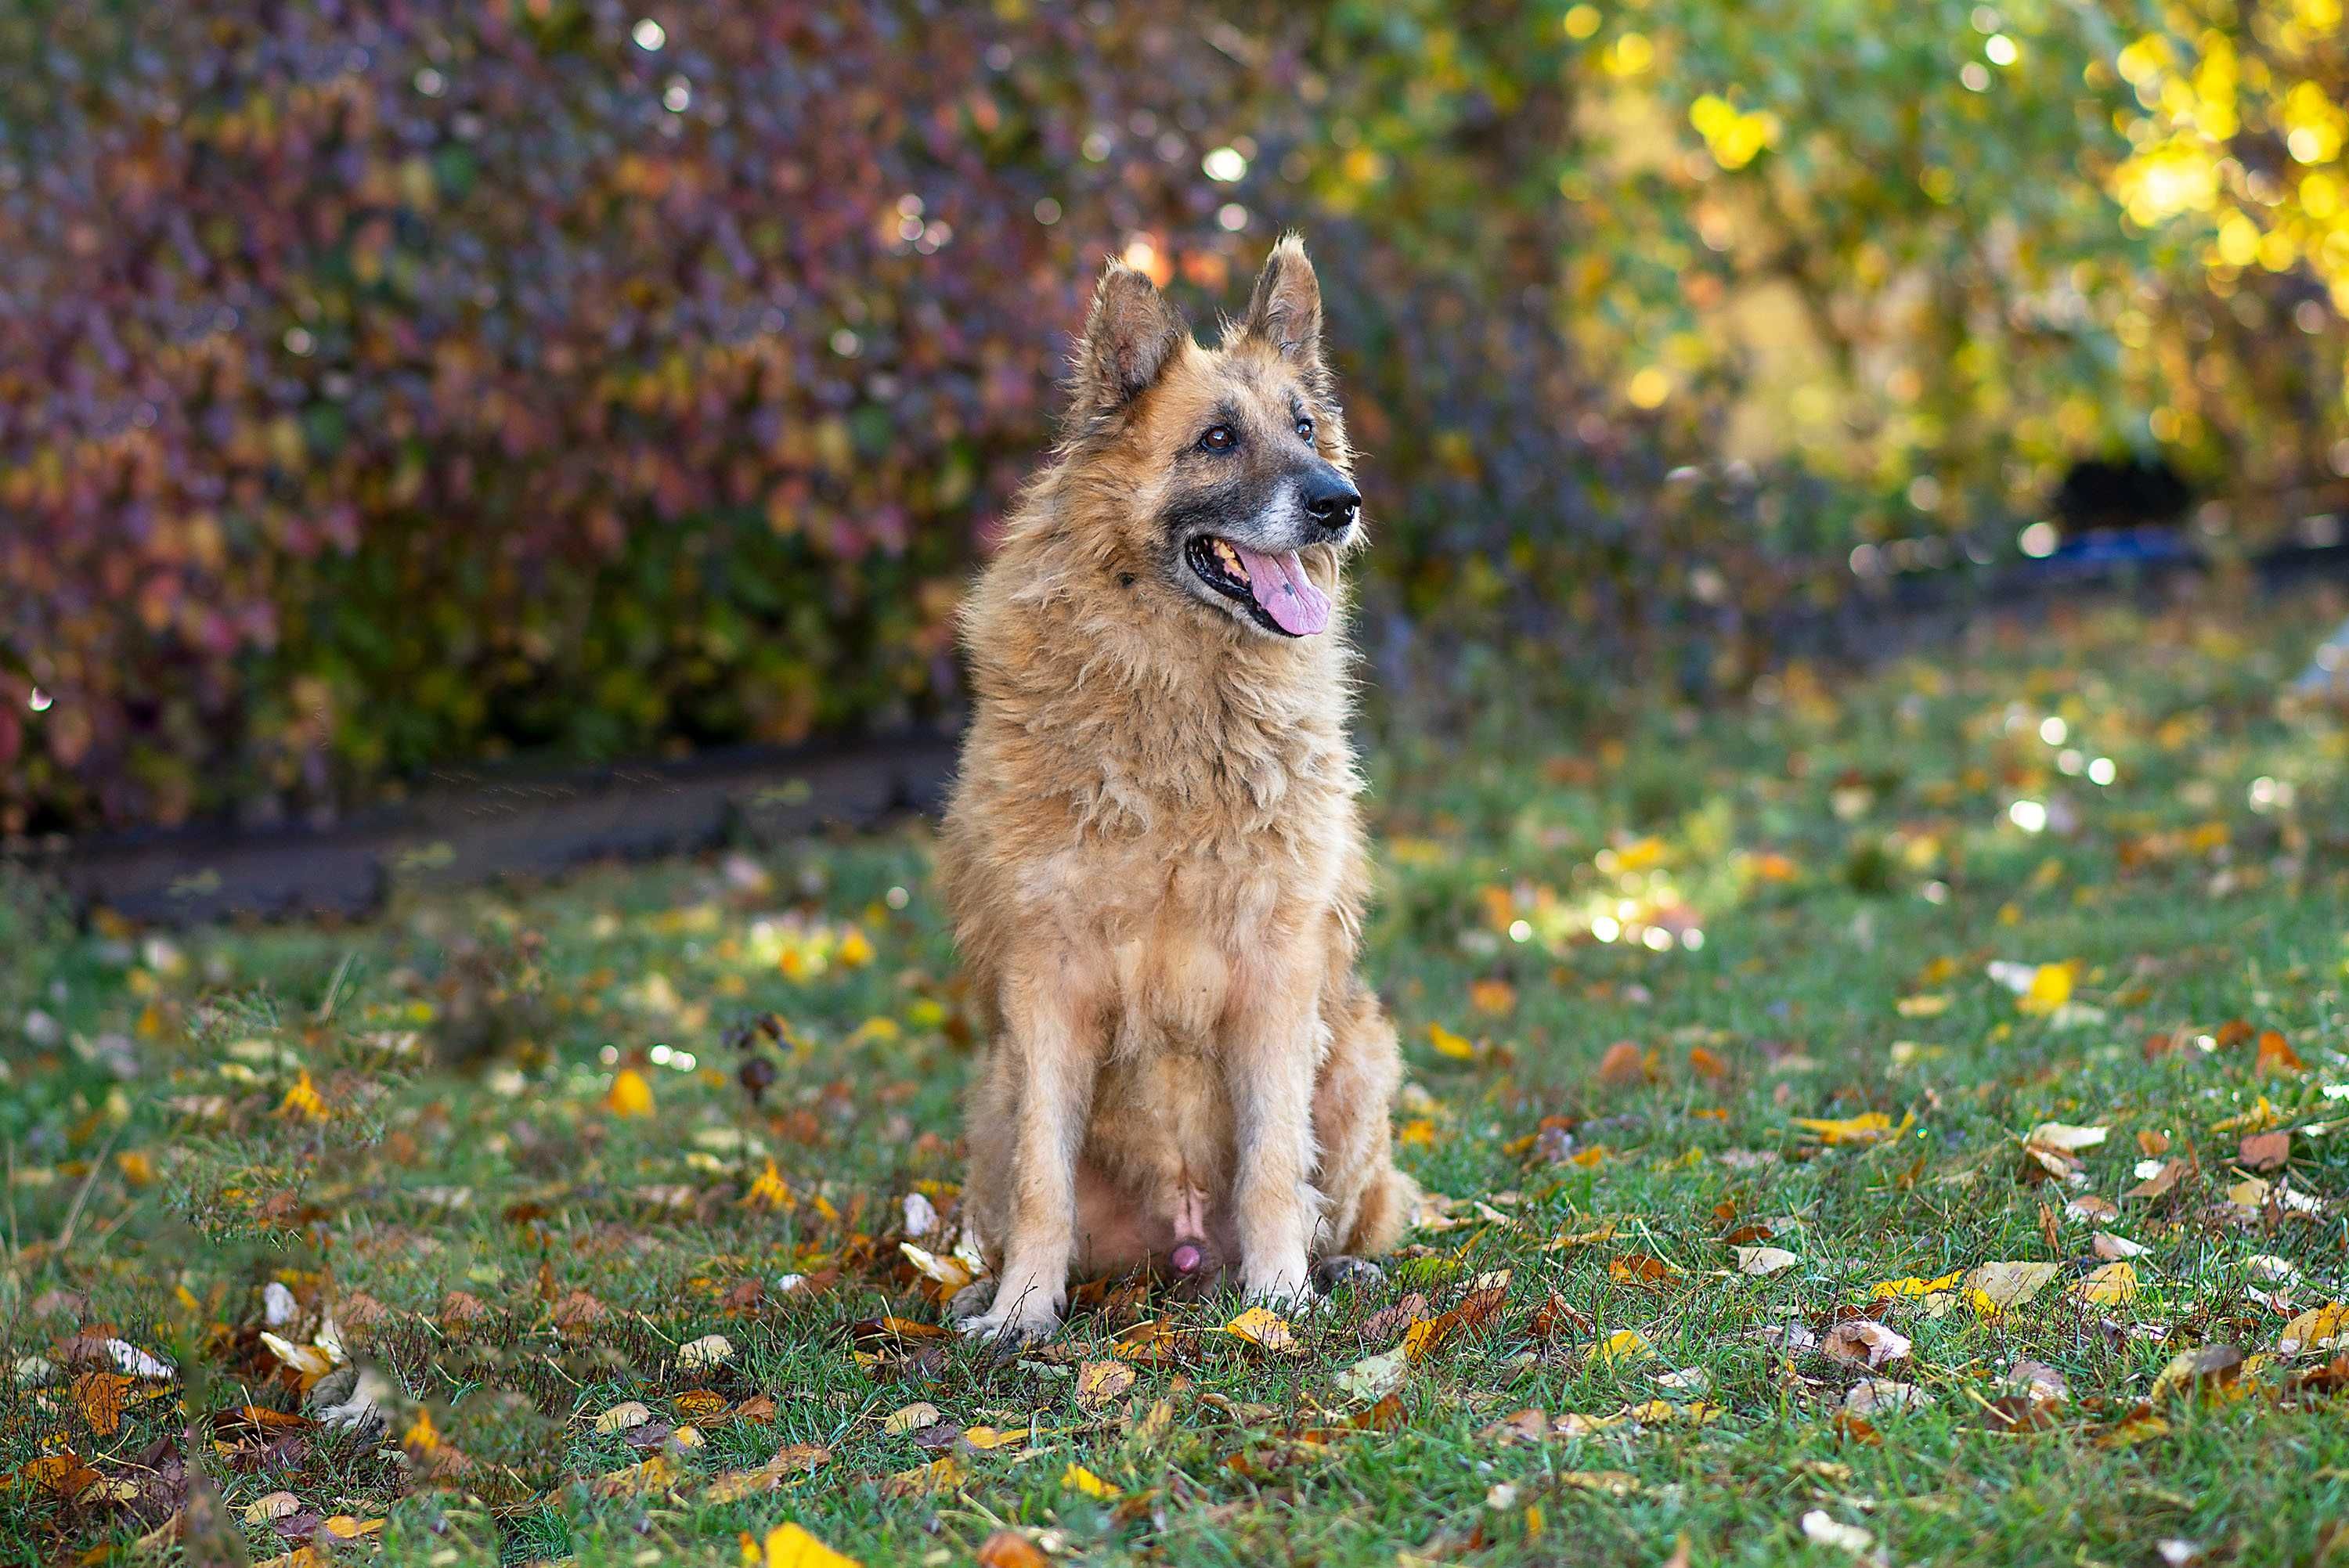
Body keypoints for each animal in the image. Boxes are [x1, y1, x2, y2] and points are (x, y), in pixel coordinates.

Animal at [935, 239, 1409, 1343]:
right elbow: (1043, 1178)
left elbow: (1276, 1162)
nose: (1339, 502)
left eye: (1305, 426)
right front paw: (1023, 1308)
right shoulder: (1046, 985)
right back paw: (986, 1284)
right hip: (990, 1090)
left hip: (1361, 1055)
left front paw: (1279, 1297)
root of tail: (1185, 1244)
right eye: (1217, 439)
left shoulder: (1279, 975)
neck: (1182, 695)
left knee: (1343, 1199)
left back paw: (1334, 1269)